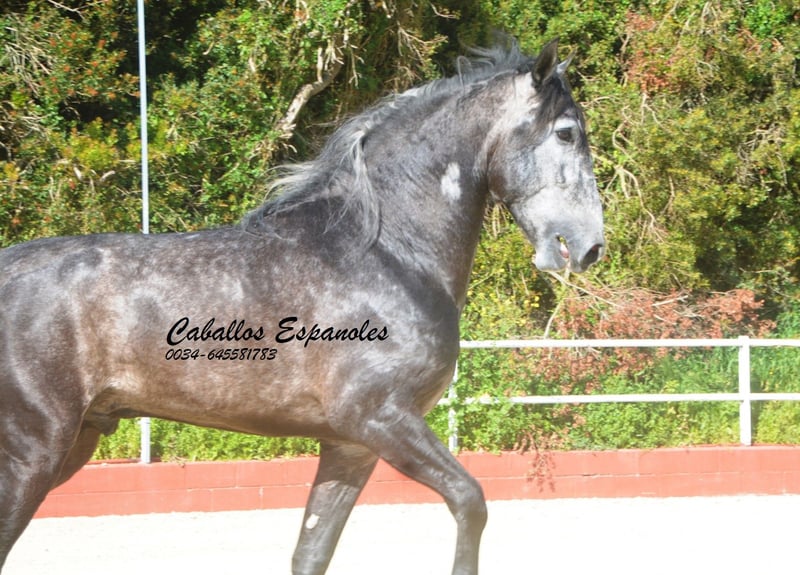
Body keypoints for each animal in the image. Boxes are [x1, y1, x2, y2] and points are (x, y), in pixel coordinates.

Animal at [0, 38, 604, 574]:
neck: (385, 252)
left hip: (77, 438)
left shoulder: (350, 445)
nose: (588, 246)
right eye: (567, 132)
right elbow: (469, 500)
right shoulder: (381, 418)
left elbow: (312, 551)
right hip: (36, 448)